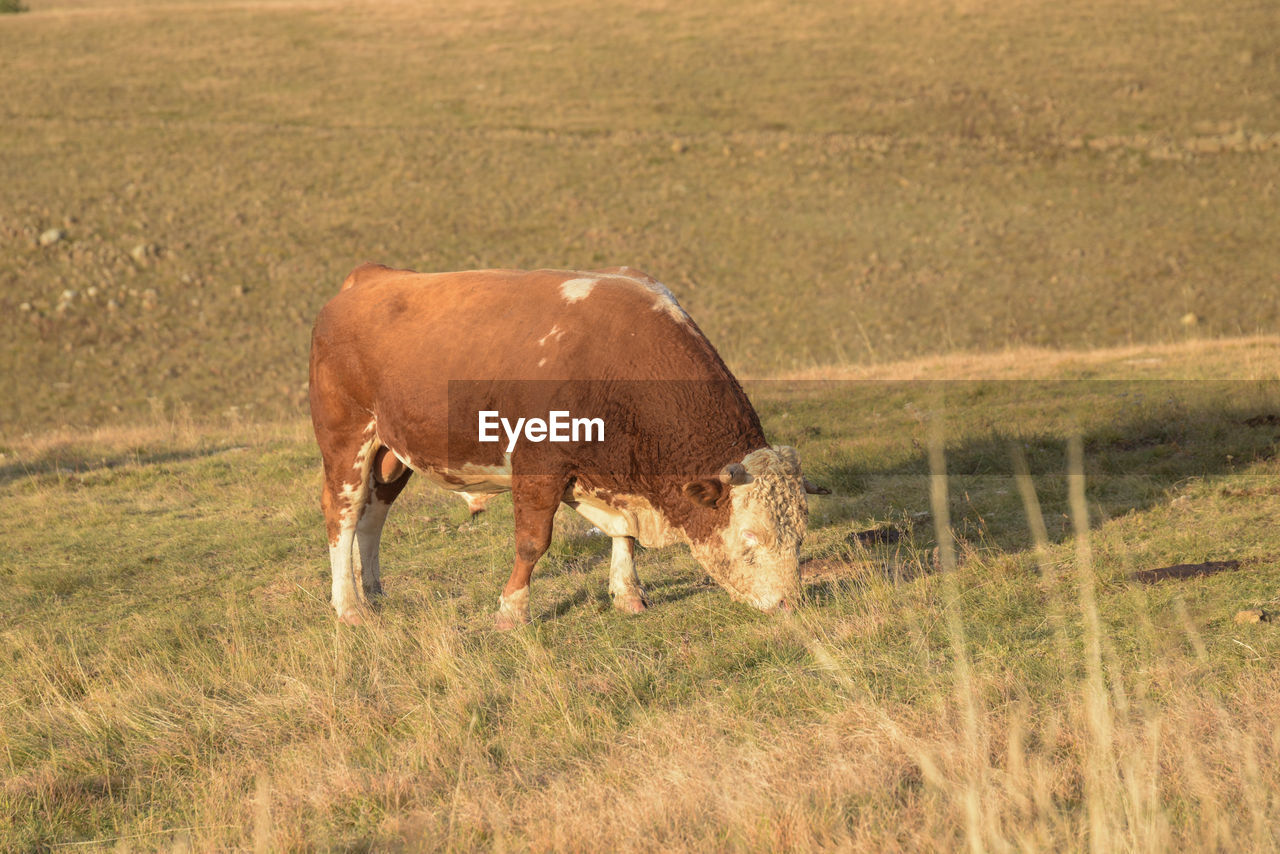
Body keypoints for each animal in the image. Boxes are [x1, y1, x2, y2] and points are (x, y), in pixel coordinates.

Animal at [309, 262, 829, 627]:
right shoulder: (538, 462)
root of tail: (369, 277)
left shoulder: (616, 474)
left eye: (801, 535)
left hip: (392, 453)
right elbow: (532, 542)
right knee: (343, 515)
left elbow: (624, 535)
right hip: (346, 436)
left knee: (373, 518)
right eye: (751, 538)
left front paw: (628, 593)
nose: (791, 604)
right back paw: (349, 606)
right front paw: (511, 611)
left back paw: (375, 593)